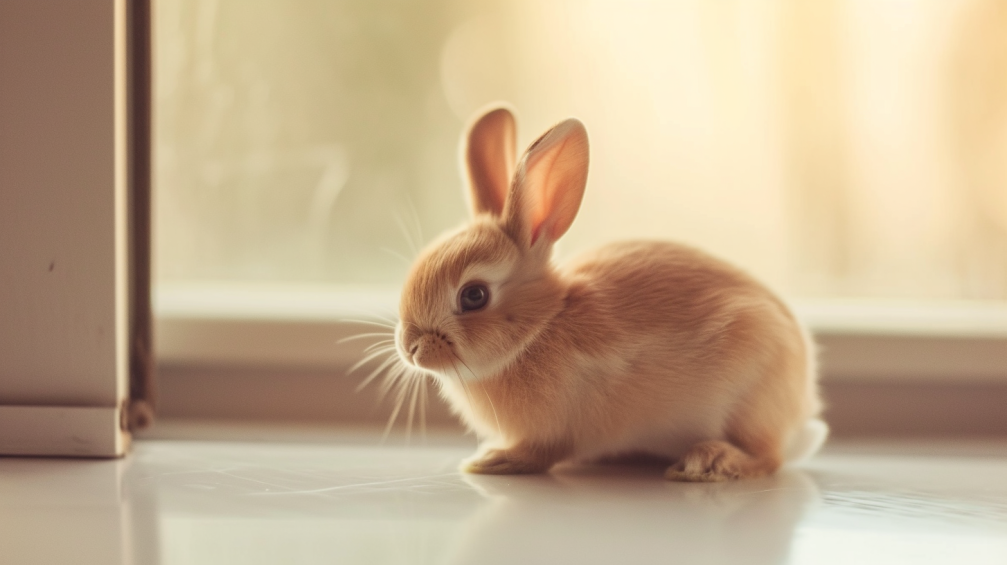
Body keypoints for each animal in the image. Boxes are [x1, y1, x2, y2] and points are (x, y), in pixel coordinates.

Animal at [393, 105, 827, 482]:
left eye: (474, 296)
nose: (410, 348)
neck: (541, 327)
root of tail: (799, 411)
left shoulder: (558, 430)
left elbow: (541, 453)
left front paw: (492, 460)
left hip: (751, 398)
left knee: (767, 457)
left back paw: (708, 463)